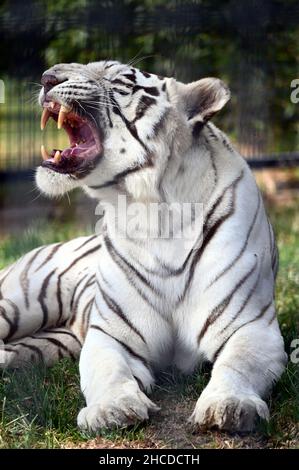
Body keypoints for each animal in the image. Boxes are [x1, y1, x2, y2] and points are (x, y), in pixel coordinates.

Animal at [0, 60, 286, 432]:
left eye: (120, 80)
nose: (48, 77)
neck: (155, 211)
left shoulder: (252, 327)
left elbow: (237, 366)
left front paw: (230, 405)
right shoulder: (111, 334)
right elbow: (108, 372)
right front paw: (112, 409)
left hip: (54, 340)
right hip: (19, 302)